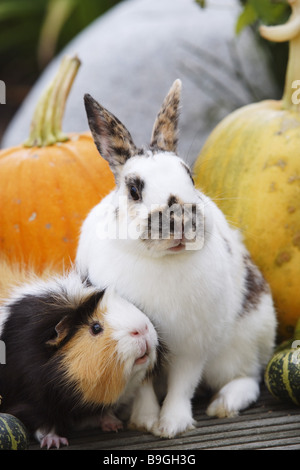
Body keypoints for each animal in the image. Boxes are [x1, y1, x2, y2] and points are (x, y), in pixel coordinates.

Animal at [75, 80, 276, 436]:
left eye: (190, 178)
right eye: (134, 190)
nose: (180, 220)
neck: (161, 260)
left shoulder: (193, 346)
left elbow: (183, 384)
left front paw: (171, 425)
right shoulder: (142, 343)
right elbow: (142, 385)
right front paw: (143, 421)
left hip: (239, 346)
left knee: (248, 377)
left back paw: (223, 404)